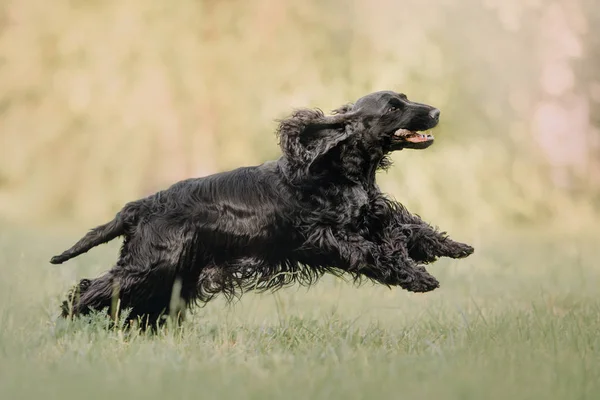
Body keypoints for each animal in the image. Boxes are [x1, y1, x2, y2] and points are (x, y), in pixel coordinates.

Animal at [51, 91, 474, 328]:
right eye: (393, 106)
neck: (341, 169)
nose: (436, 111)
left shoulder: (369, 215)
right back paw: (68, 320)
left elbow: (408, 227)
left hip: (173, 275)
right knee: (91, 288)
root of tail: (140, 205)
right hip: (149, 266)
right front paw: (418, 277)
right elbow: (379, 253)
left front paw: (452, 247)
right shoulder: (327, 236)